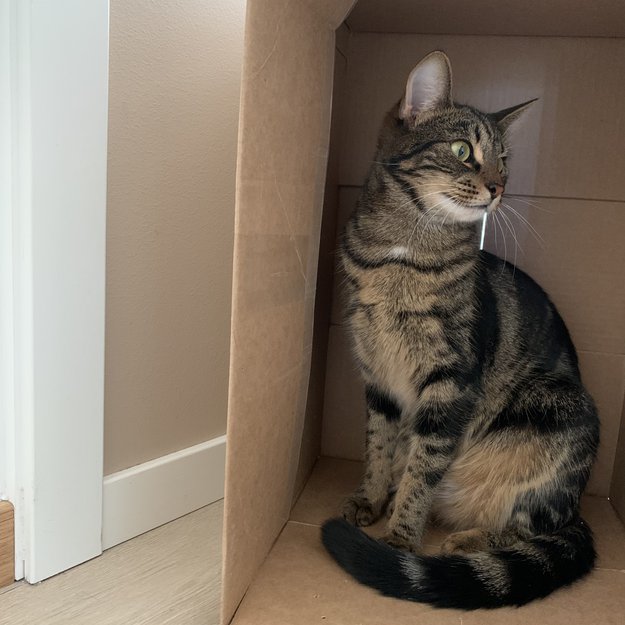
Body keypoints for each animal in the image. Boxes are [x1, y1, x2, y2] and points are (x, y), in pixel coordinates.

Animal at [321, 51, 600, 609]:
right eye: (462, 151)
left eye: (504, 161)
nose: (499, 187)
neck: (400, 252)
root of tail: (581, 504)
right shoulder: (377, 377)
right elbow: (379, 447)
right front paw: (370, 500)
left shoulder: (450, 383)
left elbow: (422, 469)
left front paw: (400, 537)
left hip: (563, 412)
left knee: (535, 526)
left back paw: (468, 541)